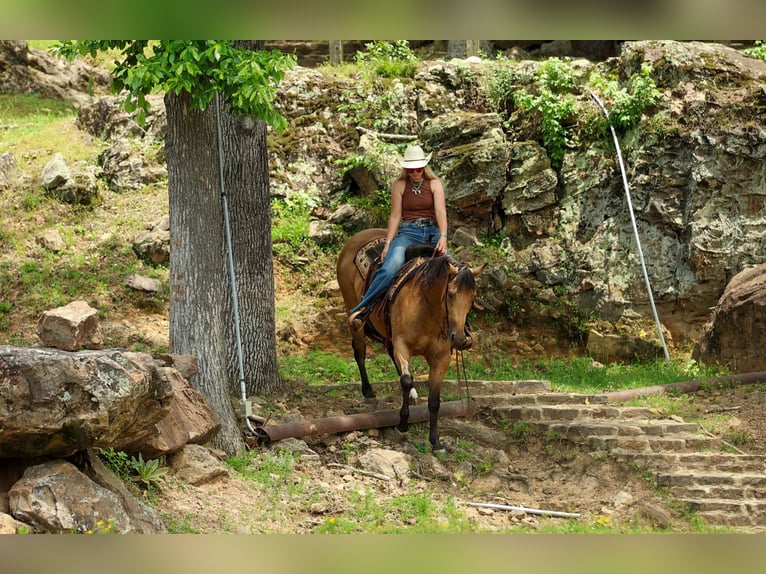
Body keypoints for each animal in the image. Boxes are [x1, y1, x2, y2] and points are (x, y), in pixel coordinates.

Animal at [336, 228, 482, 451]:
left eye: (472, 298)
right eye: (450, 294)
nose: (457, 337)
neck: (427, 309)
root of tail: (358, 236)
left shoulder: (441, 358)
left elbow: (434, 401)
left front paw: (436, 441)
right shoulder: (402, 345)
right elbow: (405, 380)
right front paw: (403, 424)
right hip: (353, 312)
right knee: (359, 350)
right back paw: (368, 391)